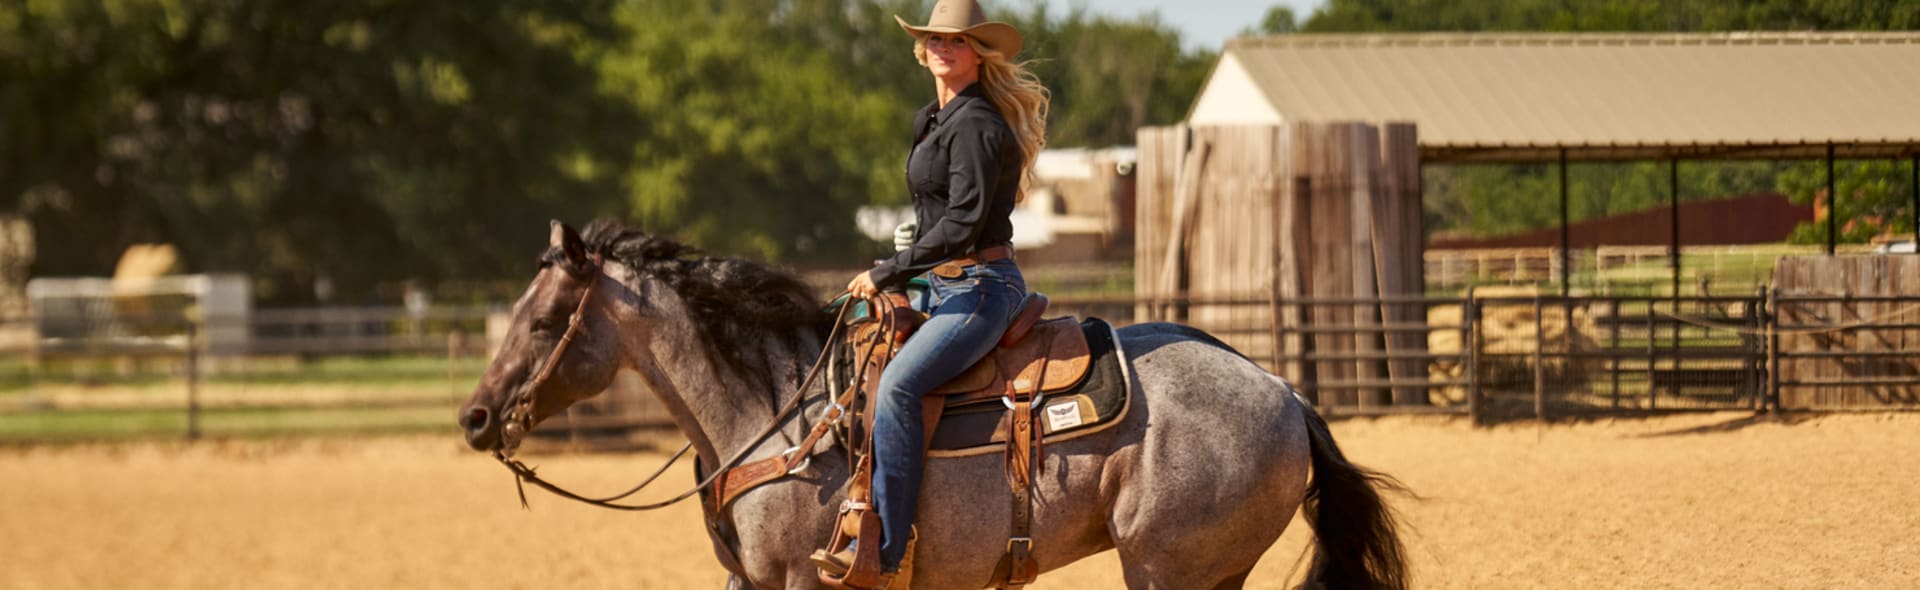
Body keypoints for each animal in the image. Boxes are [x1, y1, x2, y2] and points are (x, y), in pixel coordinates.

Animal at [458, 220, 1409, 590]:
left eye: (542, 321)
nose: (474, 418)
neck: (772, 412)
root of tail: (1285, 392)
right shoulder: (751, 578)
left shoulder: (803, 578)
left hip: (1164, 567)